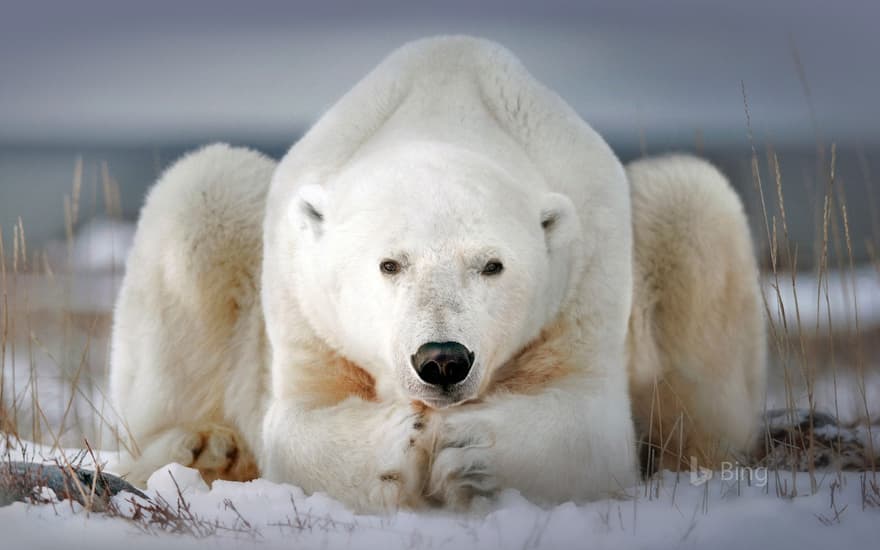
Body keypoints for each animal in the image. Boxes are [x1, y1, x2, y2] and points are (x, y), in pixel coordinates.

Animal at [110, 37, 768, 512]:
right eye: (389, 263)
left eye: (492, 265)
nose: (443, 359)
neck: (445, 108)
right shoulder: (303, 298)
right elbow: (298, 421)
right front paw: (399, 441)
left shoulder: (587, 268)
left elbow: (590, 424)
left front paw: (468, 448)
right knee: (201, 193)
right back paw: (204, 448)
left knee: (692, 205)